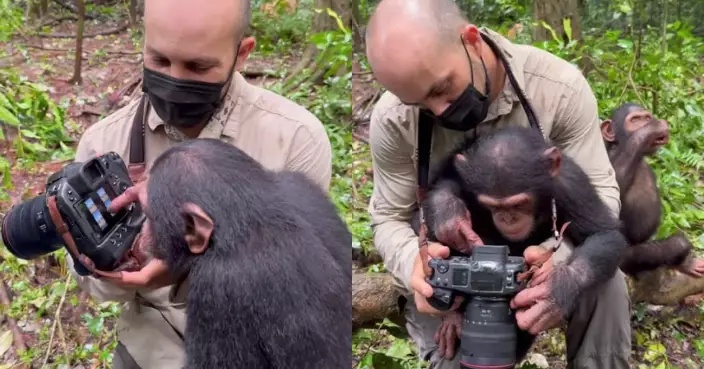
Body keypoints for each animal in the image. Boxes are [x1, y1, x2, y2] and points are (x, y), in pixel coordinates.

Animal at [600, 102, 704, 278]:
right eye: (635, 120)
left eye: (646, 117)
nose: (646, 123)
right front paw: (653, 129)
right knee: (676, 244)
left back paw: (686, 264)